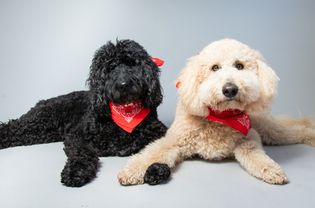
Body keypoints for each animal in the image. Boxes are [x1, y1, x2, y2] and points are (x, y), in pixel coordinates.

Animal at [0, 39, 168, 187]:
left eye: (132, 64)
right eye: (109, 68)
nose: (123, 84)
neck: (126, 113)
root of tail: (42, 101)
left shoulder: (158, 132)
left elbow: (161, 148)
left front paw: (157, 168)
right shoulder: (77, 136)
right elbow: (82, 153)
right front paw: (76, 171)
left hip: (41, 133)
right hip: (38, 120)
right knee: (11, 127)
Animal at [118, 39, 315, 185]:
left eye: (239, 66)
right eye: (214, 68)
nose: (230, 89)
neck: (220, 117)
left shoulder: (248, 139)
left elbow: (256, 155)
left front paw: (271, 169)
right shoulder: (174, 141)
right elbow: (153, 153)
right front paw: (131, 171)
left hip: (270, 130)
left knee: (297, 130)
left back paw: (310, 135)